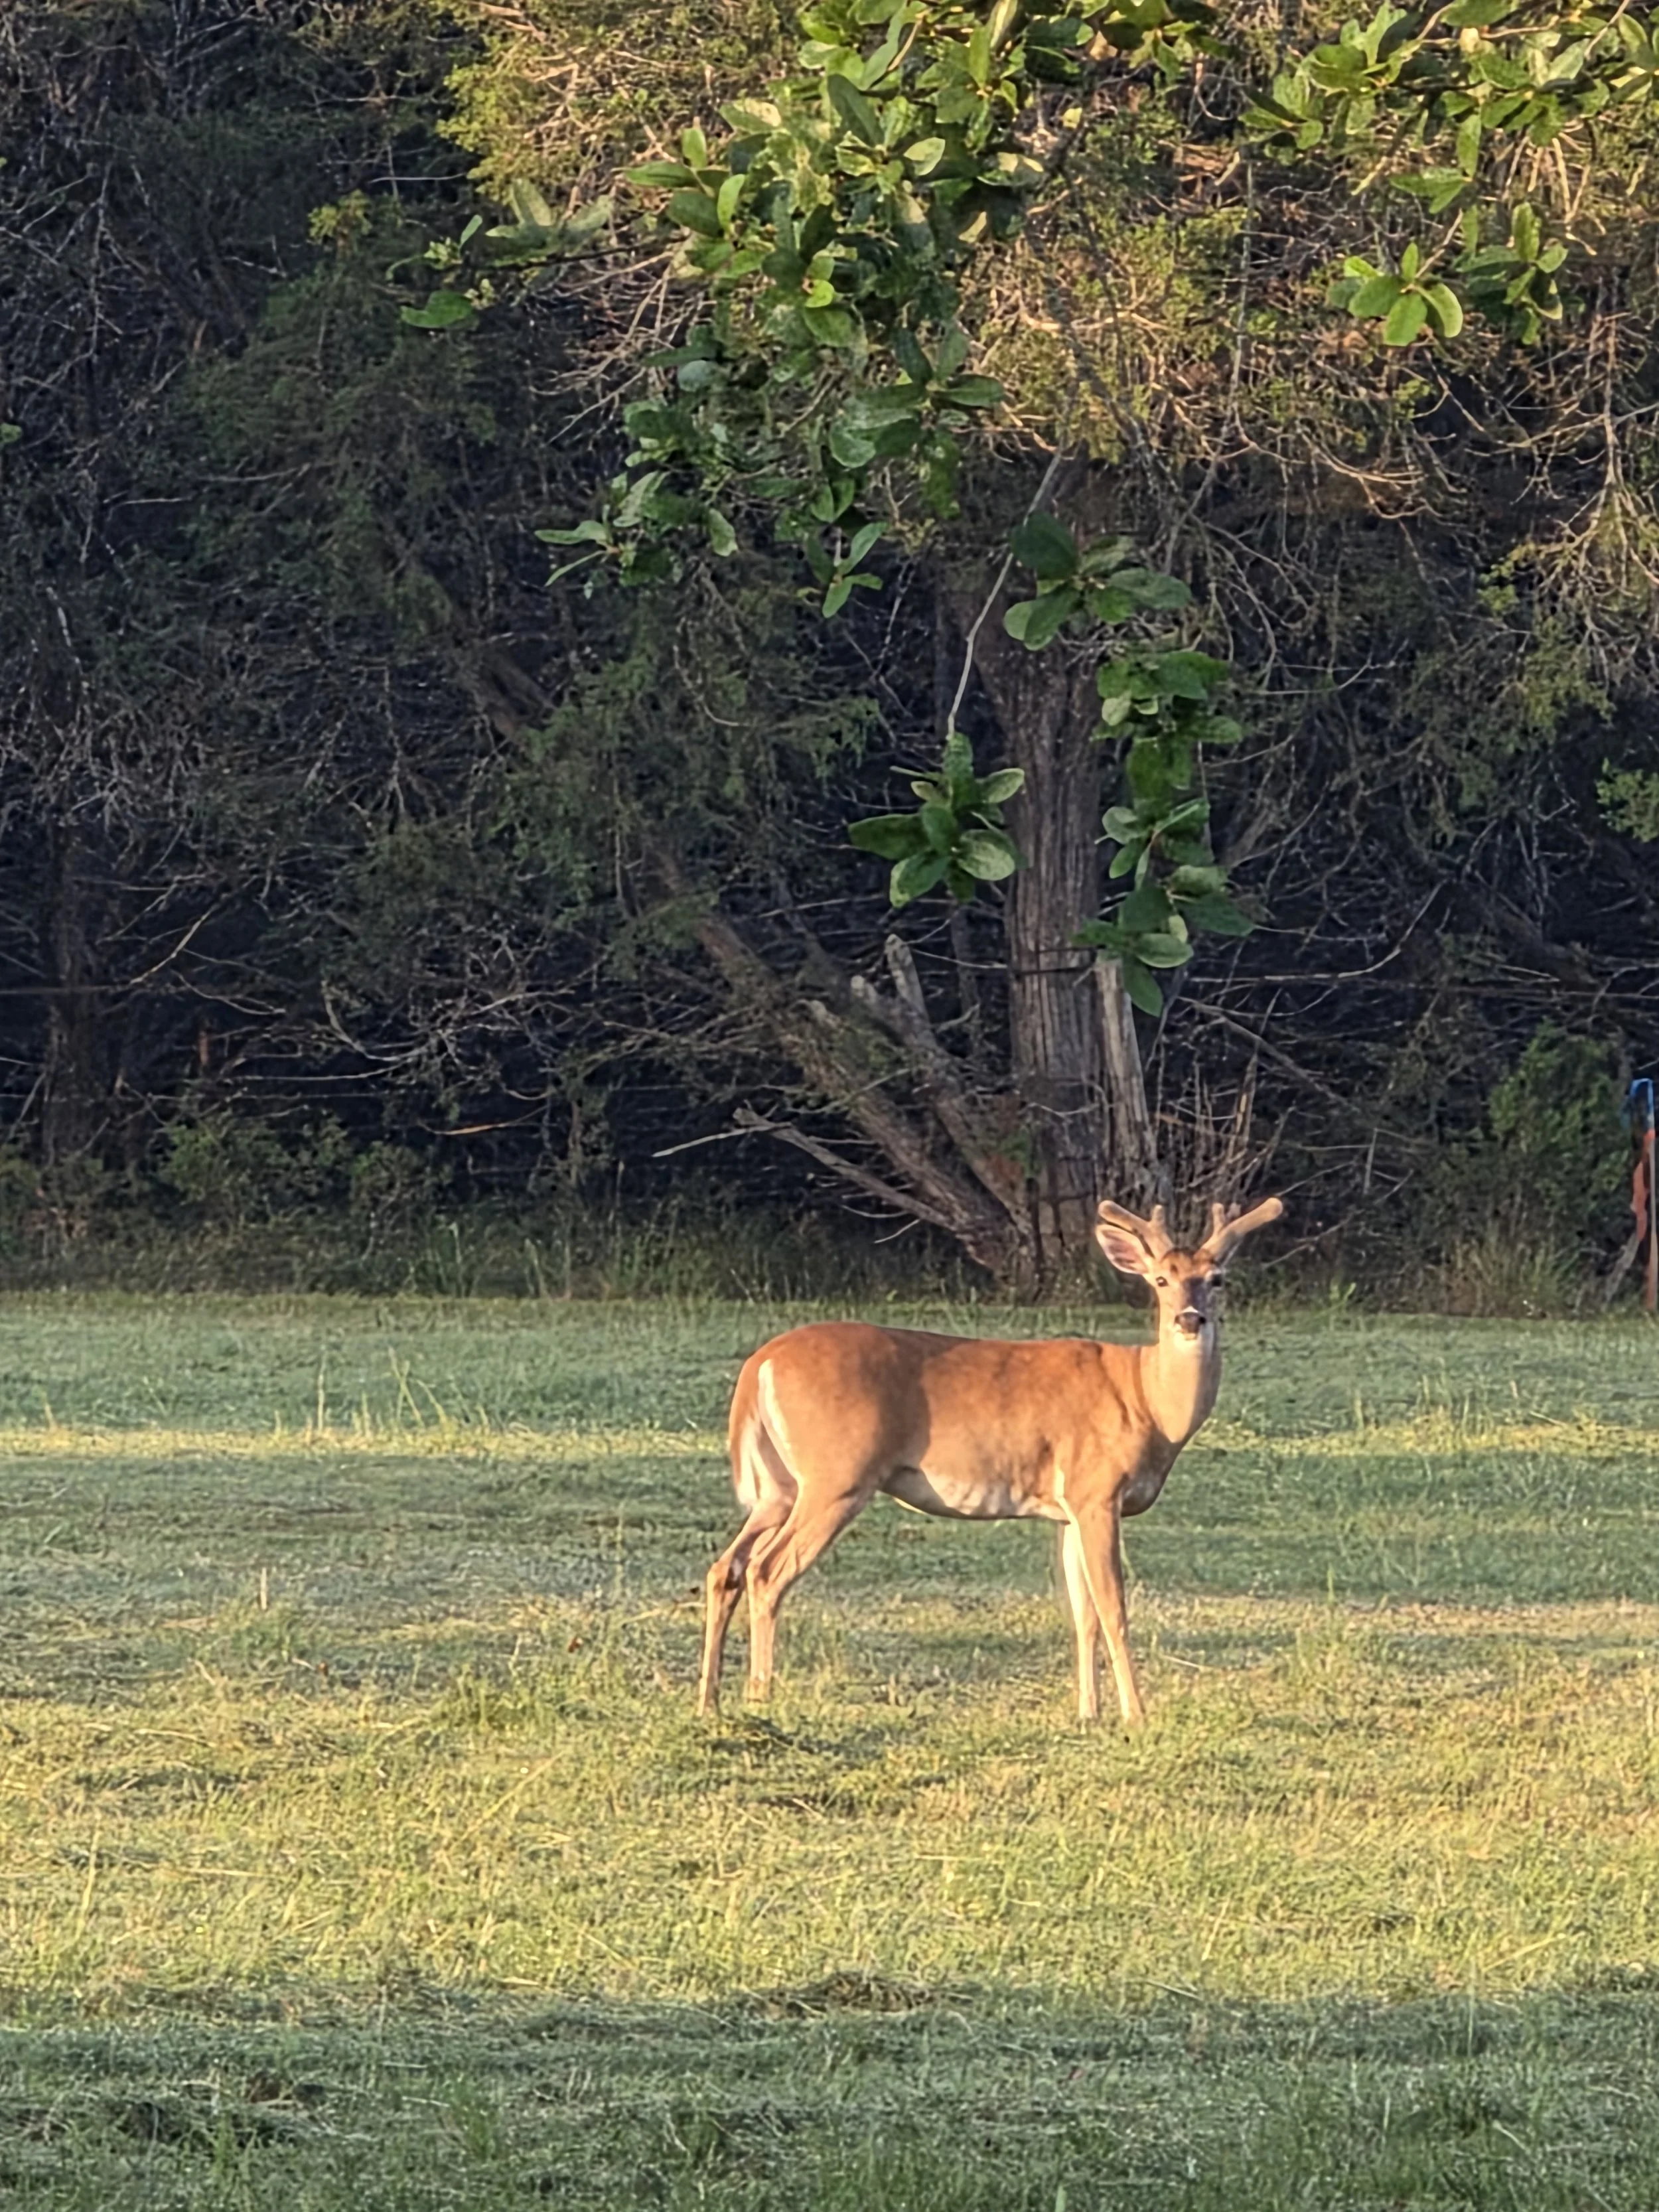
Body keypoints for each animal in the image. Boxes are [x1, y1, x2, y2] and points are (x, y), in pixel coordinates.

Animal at [696, 1194, 1283, 1728]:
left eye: (1218, 1278)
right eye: (1161, 1279)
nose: (1190, 1318)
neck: (1148, 1400)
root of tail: (759, 1364)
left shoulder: (1070, 1507)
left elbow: (1083, 1614)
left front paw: (1087, 1713)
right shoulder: (1097, 1489)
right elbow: (1114, 1608)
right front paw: (1136, 1715)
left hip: (779, 1485)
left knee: (727, 1566)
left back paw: (711, 1700)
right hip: (836, 1475)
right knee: (768, 1571)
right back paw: (760, 1697)